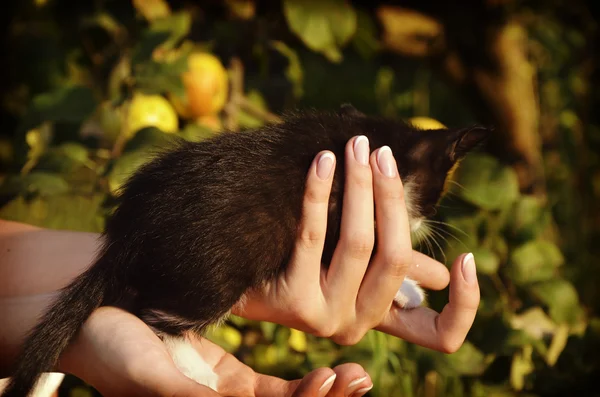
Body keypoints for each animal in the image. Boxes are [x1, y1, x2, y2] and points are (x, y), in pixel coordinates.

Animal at [2, 103, 488, 394]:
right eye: (434, 198)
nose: (422, 223)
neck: (367, 138)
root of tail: (127, 233)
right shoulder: (338, 208)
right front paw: (406, 289)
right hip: (217, 268)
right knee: (154, 315)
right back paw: (196, 369)